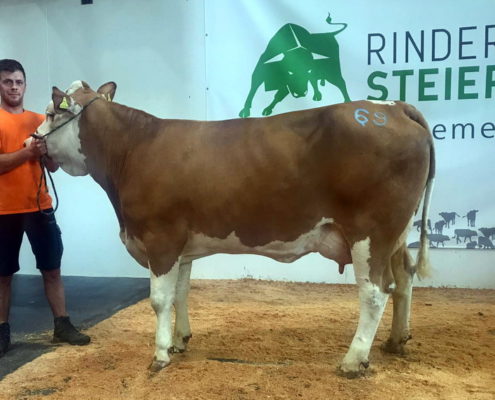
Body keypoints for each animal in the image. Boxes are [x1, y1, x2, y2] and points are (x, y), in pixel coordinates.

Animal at [35, 81, 434, 378]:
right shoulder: (182, 246)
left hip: (371, 232)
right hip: (396, 234)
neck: (131, 150)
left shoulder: (160, 238)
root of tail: (393, 106)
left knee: (375, 292)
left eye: (51, 112)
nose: (30, 141)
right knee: (404, 278)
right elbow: (180, 293)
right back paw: (396, 341)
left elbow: (159, 299)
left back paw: (353, 360)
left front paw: (160, 354)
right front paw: (180, 340)